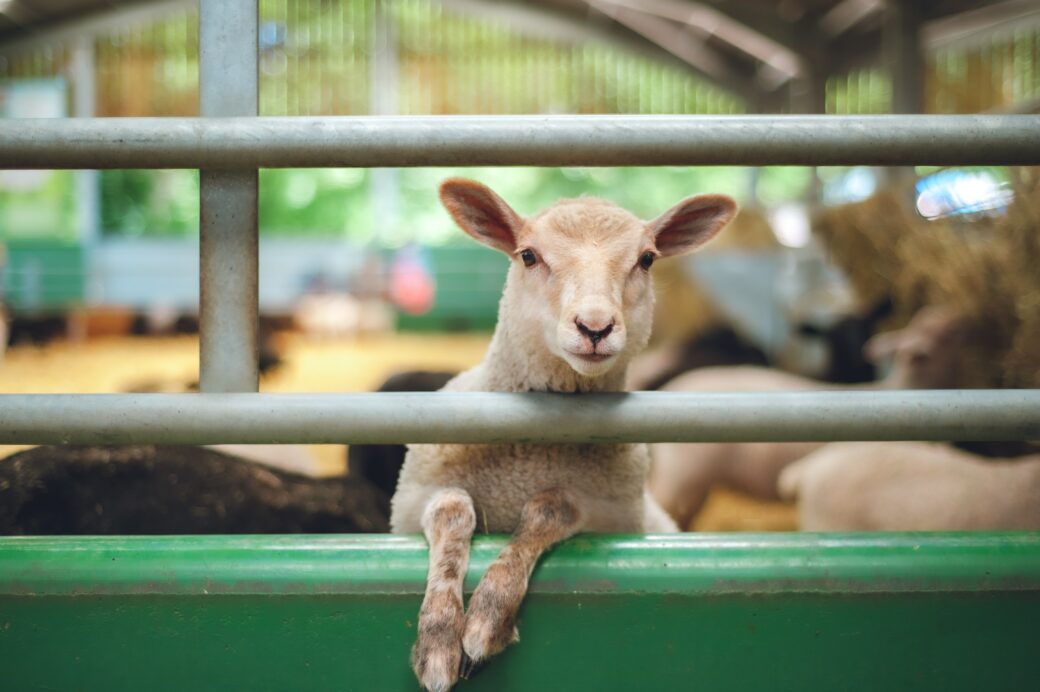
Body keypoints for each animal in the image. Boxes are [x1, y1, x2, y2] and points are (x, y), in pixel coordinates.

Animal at [391, 175, 740, 686]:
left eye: (647, 258)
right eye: (528, 255)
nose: (595, 327)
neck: (530, 456)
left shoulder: (608, 513)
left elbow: (549, 509)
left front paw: (486, 621)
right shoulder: (413, 498)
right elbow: (452, 512)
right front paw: (438, 639)